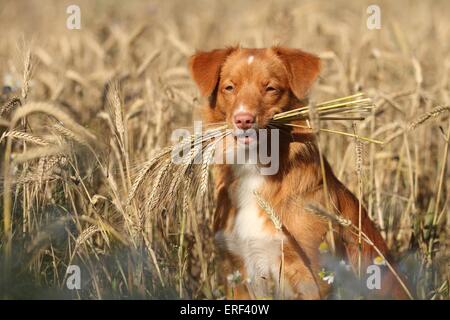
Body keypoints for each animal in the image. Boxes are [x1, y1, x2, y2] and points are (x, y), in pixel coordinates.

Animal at [188, 46, 406, 298]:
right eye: (229, 88)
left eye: (271, 88)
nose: (243, 120)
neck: (255, 169)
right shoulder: (237, 272)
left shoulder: (311, 273)